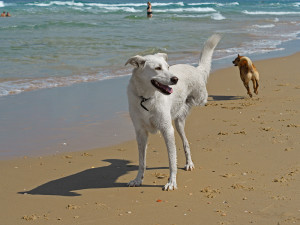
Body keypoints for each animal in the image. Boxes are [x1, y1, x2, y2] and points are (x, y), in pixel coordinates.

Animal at [124, 34, 220, 191]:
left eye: (168, 67)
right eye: (157, 68)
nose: (175, 79)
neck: (146, 98)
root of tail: (195, 69)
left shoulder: (167, 130)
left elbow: (171, 160)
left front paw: (171, 182)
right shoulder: (140, 133)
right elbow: (142, 161)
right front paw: (138, 179)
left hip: (198, 99)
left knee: (186, 141)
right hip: (178, 123)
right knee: (185, 142)